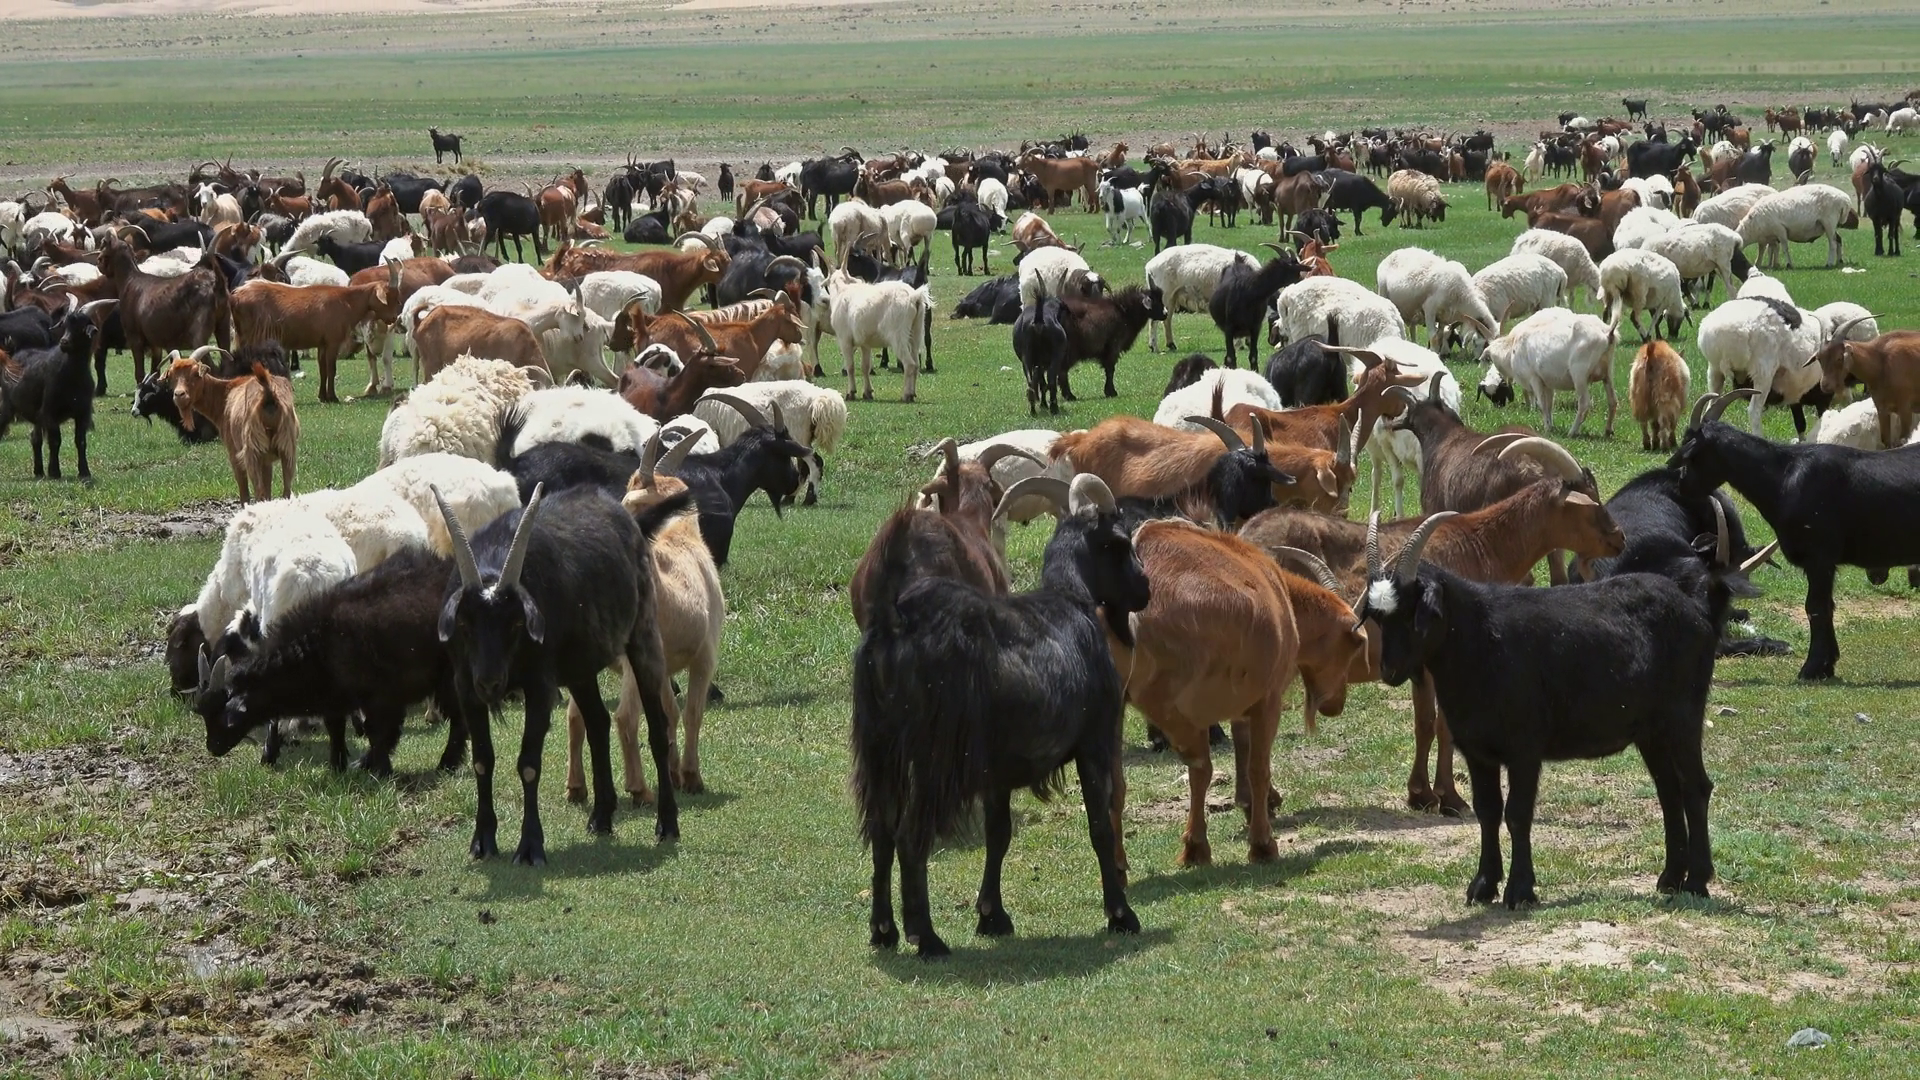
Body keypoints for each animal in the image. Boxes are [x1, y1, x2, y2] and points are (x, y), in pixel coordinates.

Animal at [691, 382, 848, 503]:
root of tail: (818, 399)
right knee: (804, 467)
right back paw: (789, 499)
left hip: (798, 436)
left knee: (815, 462)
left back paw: (808, 499)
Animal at [1481, 307, 1618, 436]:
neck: (1512, 347)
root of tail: (1607, 332)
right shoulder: (1547, 382)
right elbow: (1549, 404)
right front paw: (1551, 426)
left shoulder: (1534, 378)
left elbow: (1542, 405)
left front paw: (1547, 429)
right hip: (1608, 373)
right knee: (1612, 401)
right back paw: (1608, 431)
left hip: (1579, 375)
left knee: (1584, 404)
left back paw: (1572, 432)